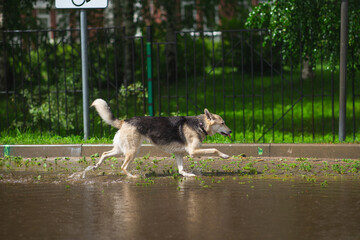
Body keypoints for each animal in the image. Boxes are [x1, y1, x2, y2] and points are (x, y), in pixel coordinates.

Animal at [83, 98, 232, 178]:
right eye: (223, 123)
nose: (230, 131)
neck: (200, 124)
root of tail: (124, 121)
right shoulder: (193, 152)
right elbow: (214, 150)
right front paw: (224, 155)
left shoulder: (179, 154)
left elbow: (181, 169)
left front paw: (187, 175)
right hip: (132, 151)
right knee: (123, 166)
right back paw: (132, 176)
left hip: (121, 150)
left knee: (104, 153)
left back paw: (96, 166)